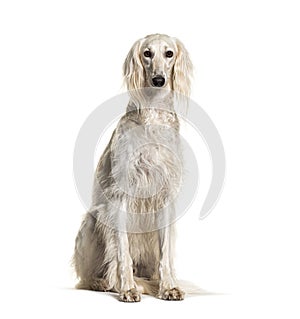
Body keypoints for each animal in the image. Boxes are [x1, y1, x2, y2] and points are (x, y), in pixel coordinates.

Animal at [74, 34, 193, 302]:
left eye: (169, 53)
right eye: (147, 53)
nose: (158, 80)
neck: (152, 118)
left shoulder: (164, 195)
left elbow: (165, 255)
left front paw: (169, 287)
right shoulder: (121, 195)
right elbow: (122, 252)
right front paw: (127, 288)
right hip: (93, 220)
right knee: (88, 277)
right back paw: (106, 283)